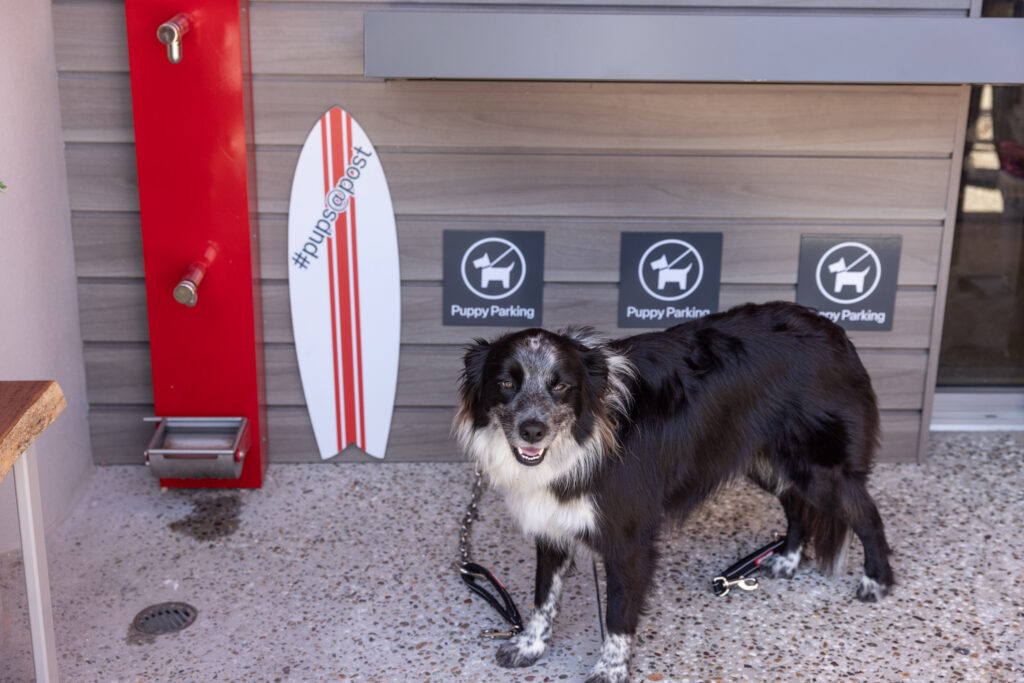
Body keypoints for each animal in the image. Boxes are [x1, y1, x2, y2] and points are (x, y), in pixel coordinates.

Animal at [456, 301, 897, 683]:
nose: (532, 430)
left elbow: (618, 614)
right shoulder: (552, 522)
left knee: (866, 514)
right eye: (506, 383)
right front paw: (530, 646)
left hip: (818, 470)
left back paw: (875, 581)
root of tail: (834, 331)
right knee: (797, 509)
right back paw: (787, 559)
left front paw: (611, 670)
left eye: (560, 386)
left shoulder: (629, 538)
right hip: (769, 463)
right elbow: (543, 597)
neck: (586, 434)